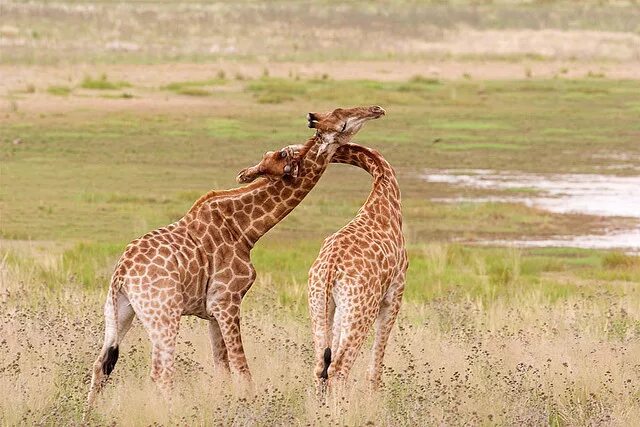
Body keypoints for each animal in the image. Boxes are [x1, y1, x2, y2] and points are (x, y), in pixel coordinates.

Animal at [86, 105, 404, 406]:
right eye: (341, 118)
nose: (376, 109)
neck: (245, 229)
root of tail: (121, 274)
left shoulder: (213, 312)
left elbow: (223, 370)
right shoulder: (227, 301)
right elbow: (243, 371)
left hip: (120, 311)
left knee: (101, 364)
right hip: (164, 314)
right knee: (161, 373)